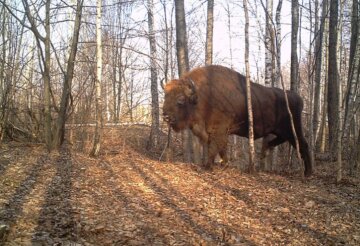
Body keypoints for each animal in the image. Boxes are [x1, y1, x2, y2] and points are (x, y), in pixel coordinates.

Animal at [162, 65, 312, 176]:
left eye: (180, 99)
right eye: (165, 96)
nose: (165, 116)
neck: (202, 96)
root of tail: (298, 98)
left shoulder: (219, 130)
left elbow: (214, 148)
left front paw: (208, 166)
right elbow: (221, 149)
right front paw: (225, 164)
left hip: (293, 129)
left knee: (303, 145)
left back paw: (308, 173)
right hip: (281, 131)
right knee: (278, 142)